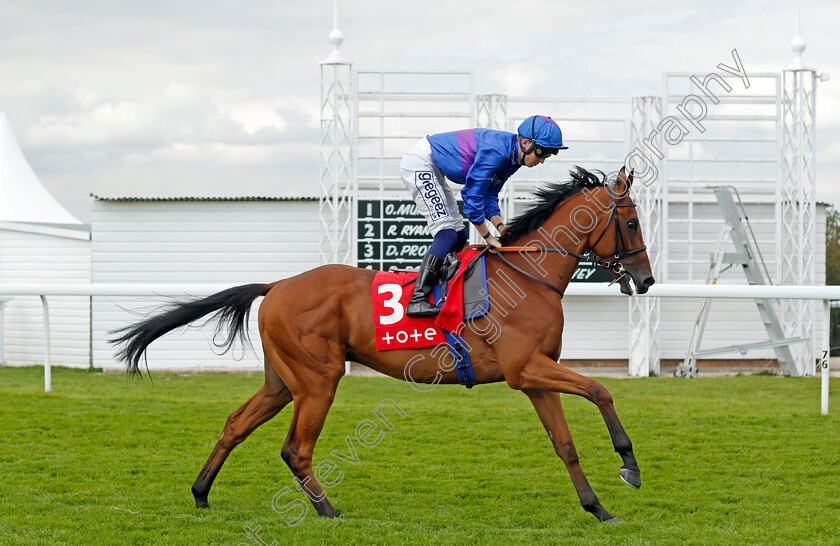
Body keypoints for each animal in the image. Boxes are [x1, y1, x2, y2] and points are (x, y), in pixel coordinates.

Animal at [111, 165, 656, 520]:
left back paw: (202, 492)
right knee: (296, 449)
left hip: (283, 381)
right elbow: (601, 390)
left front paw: (597, 508)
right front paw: (629, 465)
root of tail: (277, 285)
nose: (647, 279)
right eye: (631, 223)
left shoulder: (534, 375)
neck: (528, 275)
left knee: (235, 424)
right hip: (318, 378)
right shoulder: (527, 369)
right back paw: (327, 511)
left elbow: (565, 444)